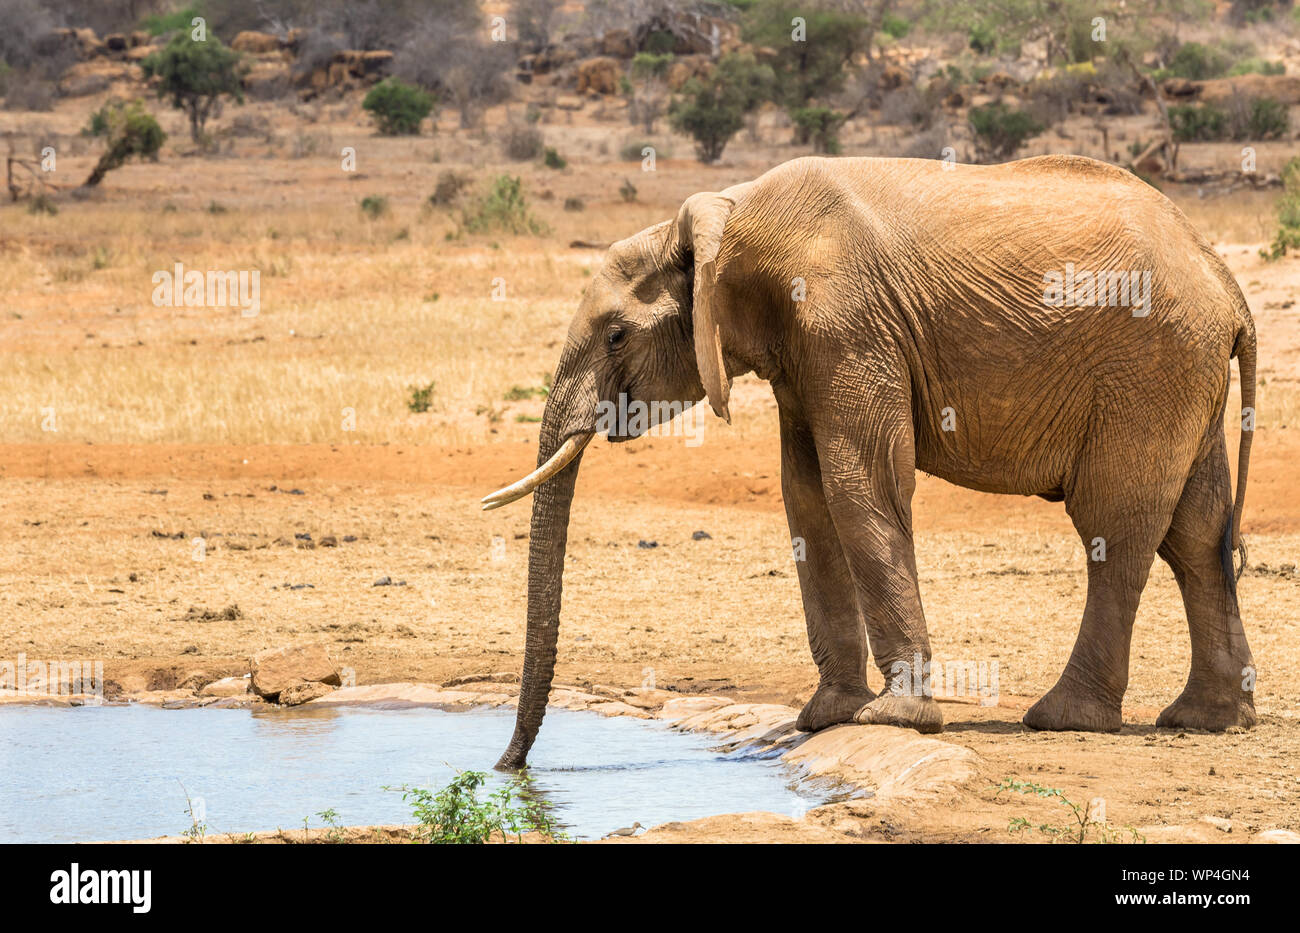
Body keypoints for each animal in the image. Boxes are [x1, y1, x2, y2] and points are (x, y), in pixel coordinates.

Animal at [483, 153, 1253, 769]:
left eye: (616, 336)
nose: (509, 767)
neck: (730, 215)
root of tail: (1224, 277)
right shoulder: (803, 351)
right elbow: (807, 498)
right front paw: (826, 716)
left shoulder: (847, 324)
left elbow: (860, 485)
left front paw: (893, 718)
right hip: (1184, 374)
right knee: (1195, 536)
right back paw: (1206, 720)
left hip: (1147, 370)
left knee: (1113, 530)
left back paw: (1062, 718)